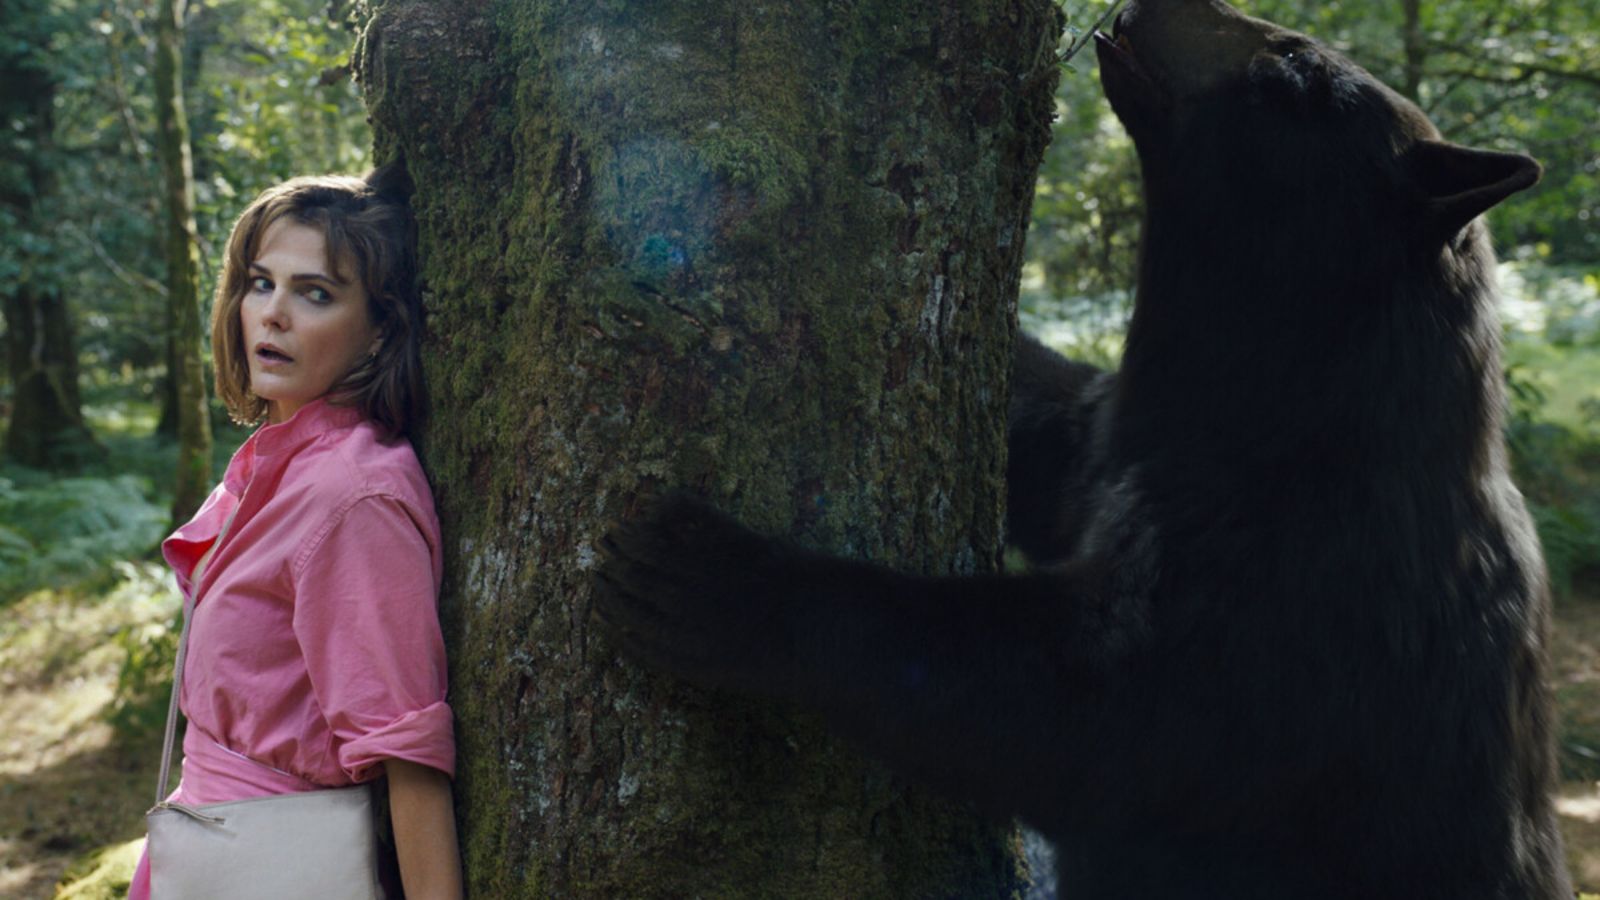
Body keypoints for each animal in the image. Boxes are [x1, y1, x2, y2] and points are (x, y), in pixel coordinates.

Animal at [592, 0, 1572, 896]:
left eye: (1295, 72)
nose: (1148, 0)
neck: (1275, 415)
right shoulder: (1113, 447)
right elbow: (1048, 431)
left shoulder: (1296, 603)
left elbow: (1074, 716)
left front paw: (719, 579)